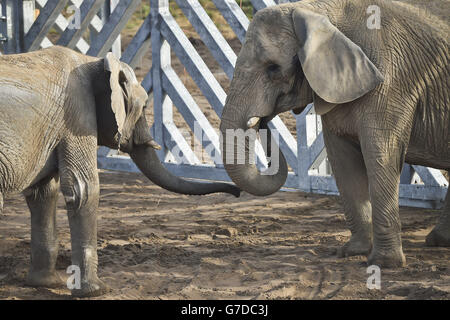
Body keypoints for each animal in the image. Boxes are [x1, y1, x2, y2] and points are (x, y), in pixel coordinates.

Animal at [0, 45, 241, 298]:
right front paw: (97, 291)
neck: (94, 62)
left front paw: (45, 284)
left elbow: (44, 193)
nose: (236, 192)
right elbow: (83, 189)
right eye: (143, 107)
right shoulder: (77, 116)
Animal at [220, 0, 448, 268]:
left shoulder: (392, 83)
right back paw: (438, 241)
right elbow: (342, 161)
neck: (319, 10)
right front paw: (351, 252)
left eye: (273, 68)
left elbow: (380, 156)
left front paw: (383, 263)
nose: (263, 120)